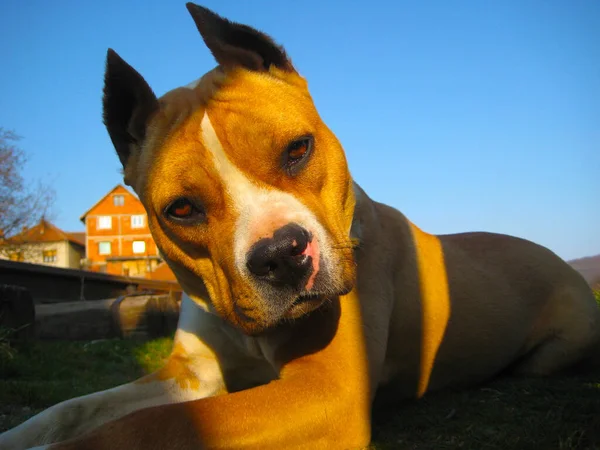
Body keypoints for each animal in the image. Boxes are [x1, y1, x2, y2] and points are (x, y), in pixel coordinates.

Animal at [1, 3, 600, 450]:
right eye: (182, 209)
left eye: (298, 149)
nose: (282, 255)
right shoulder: (189, 375)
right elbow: (70, 410)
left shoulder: (325, 392)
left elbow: (147, 427)